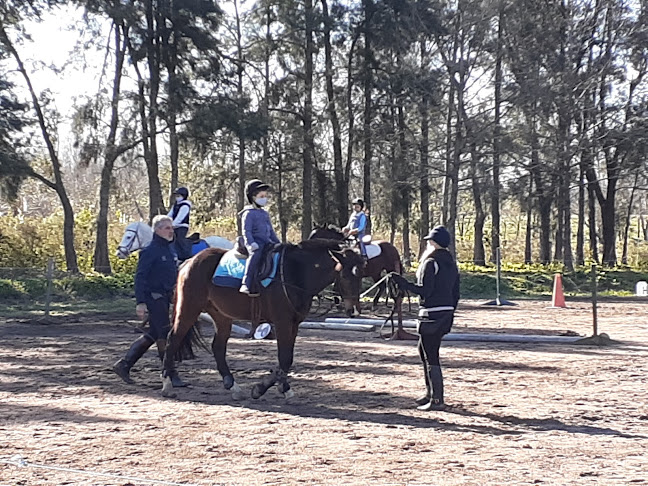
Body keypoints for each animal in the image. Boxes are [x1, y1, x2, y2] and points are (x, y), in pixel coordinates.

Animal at [160, 238, 364, 398]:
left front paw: (282, 387)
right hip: (188, 309)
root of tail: (189, 262)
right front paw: (262, 389)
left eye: (361, 275)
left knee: (217, 347)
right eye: (345, 276)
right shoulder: (282, 322)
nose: (353, 310)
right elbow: (285, 358)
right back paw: (167, 385)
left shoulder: (294, 324)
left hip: (221, 316)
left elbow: (287, 359)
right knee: (173, 339)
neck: (295, 273)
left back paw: (232, 386)